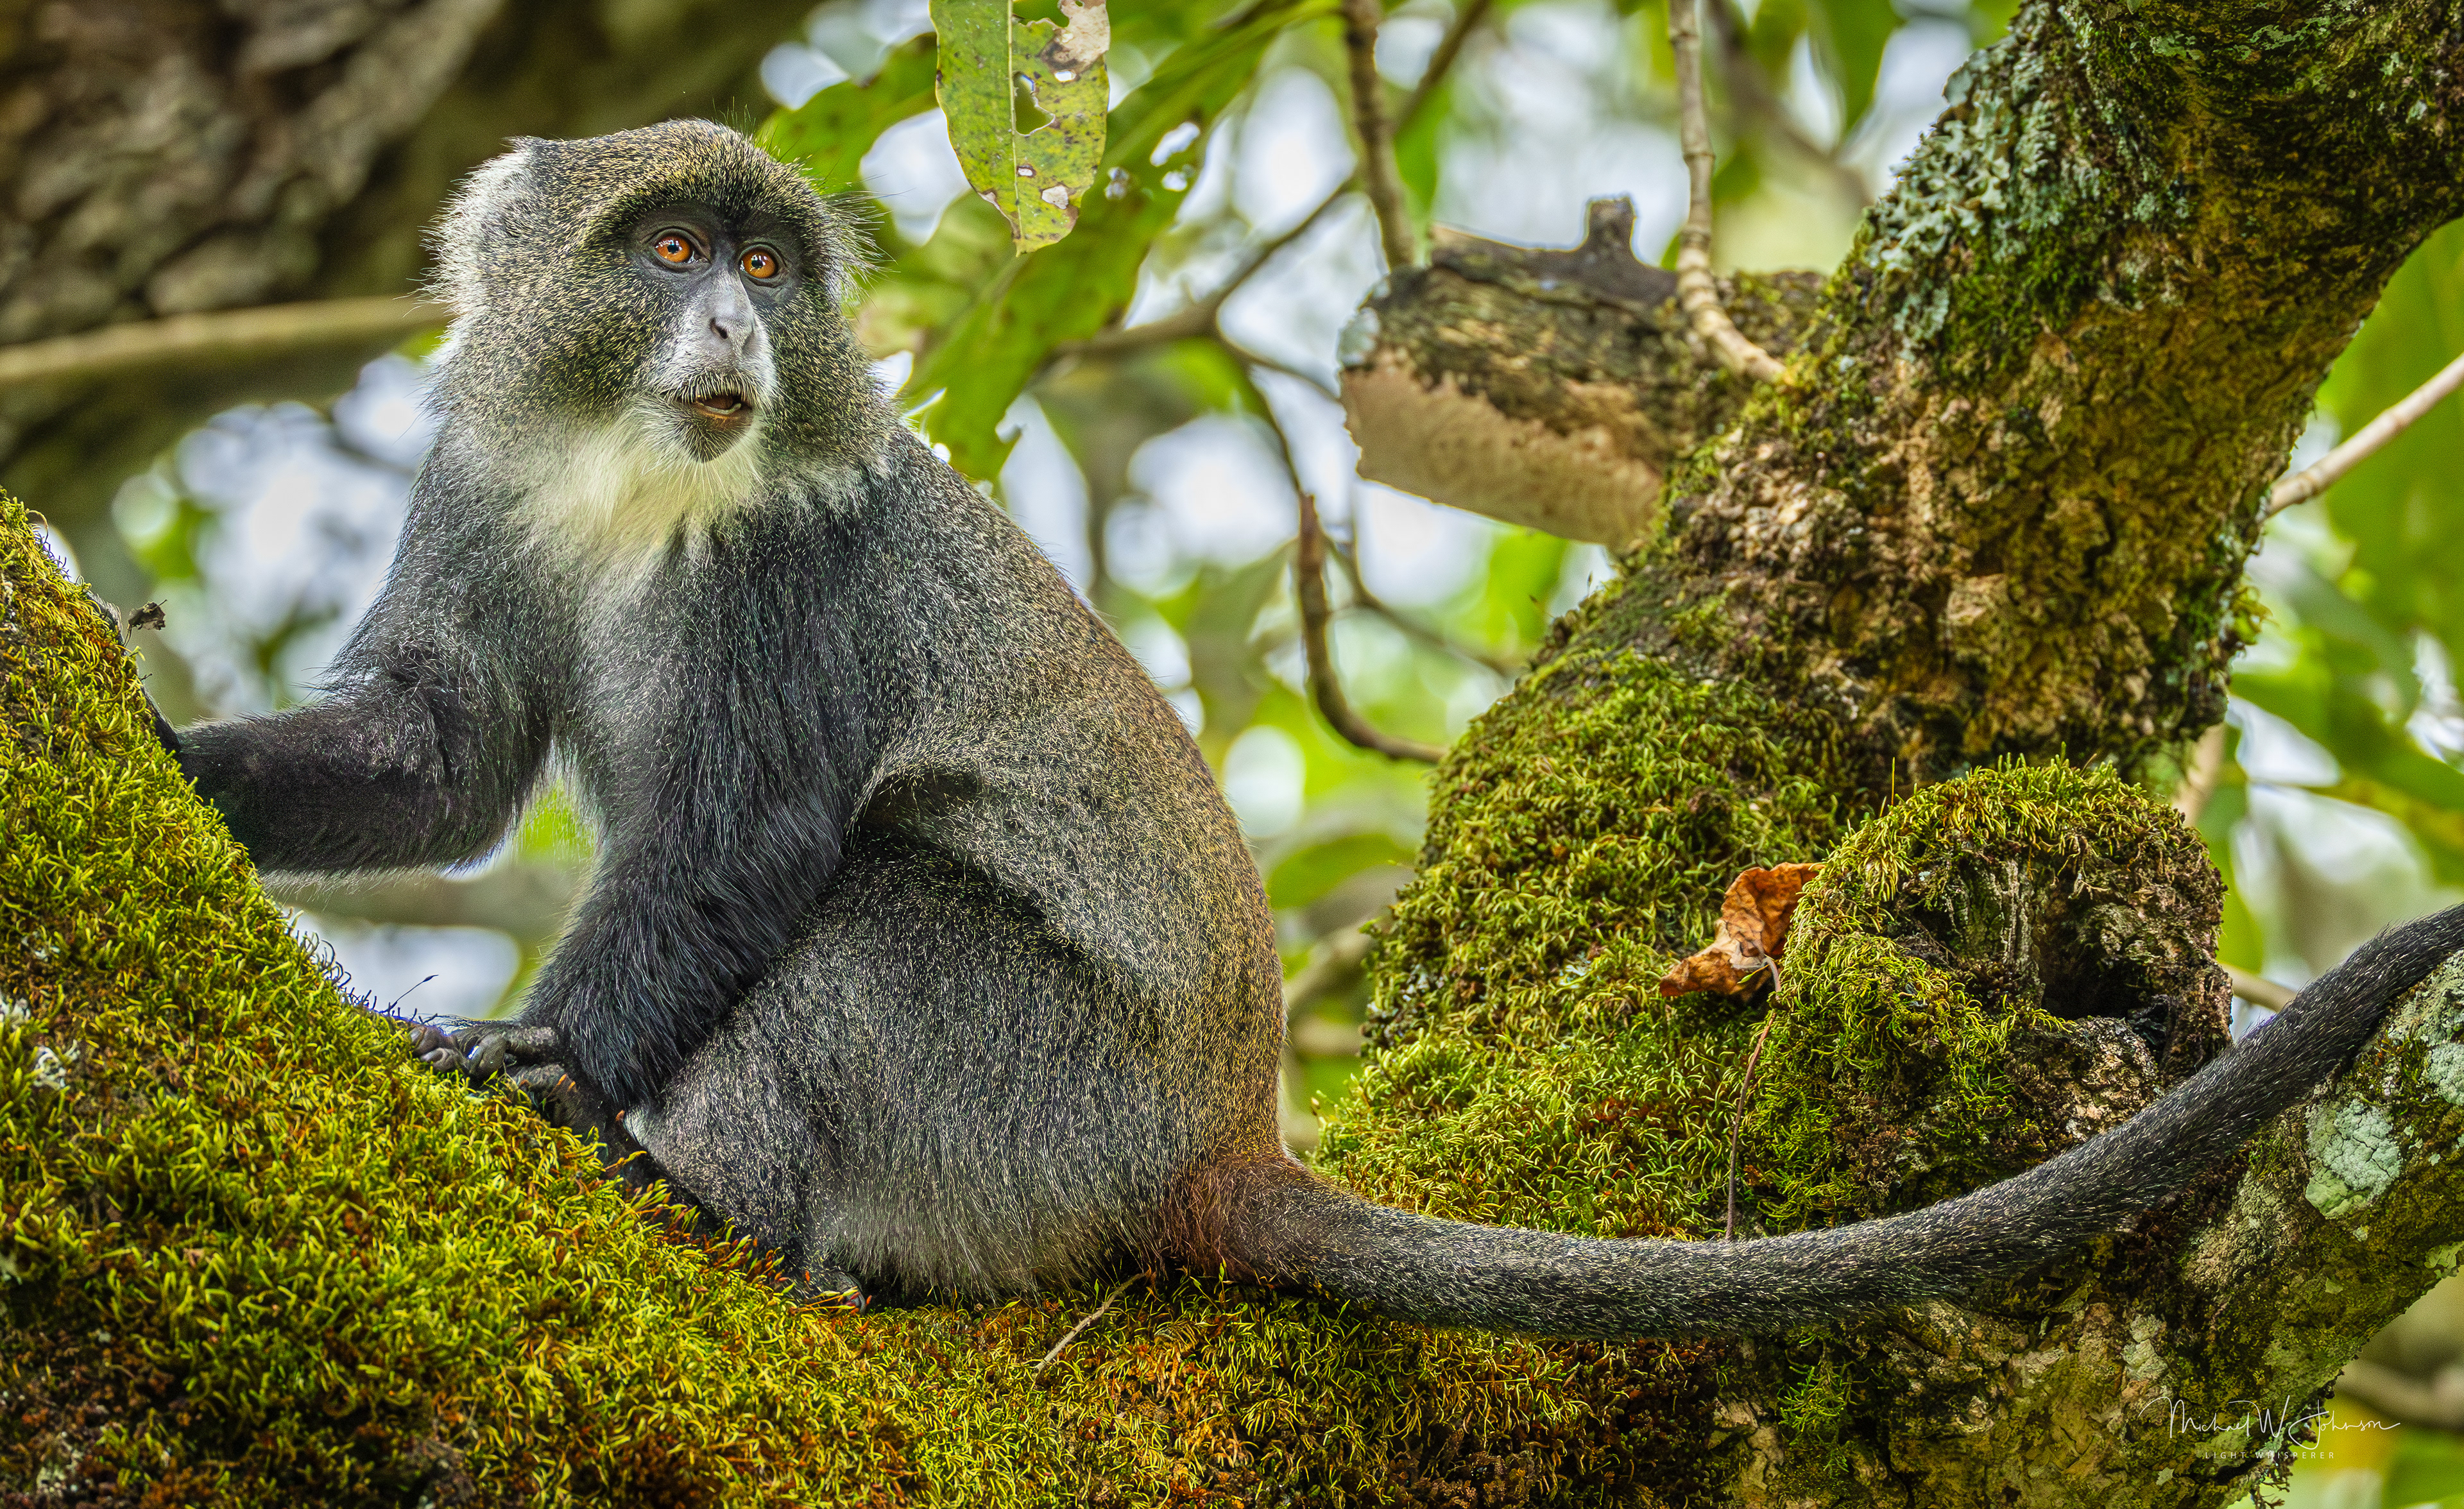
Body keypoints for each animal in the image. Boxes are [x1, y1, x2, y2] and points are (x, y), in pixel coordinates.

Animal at [154, 118, 2464, 1332]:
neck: (634, 482)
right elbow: (441, 758)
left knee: (873, 921)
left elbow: (736, 857)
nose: (732, 323)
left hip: (1035, 1101)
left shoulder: (792, 572)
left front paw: (524, 1069)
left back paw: (711, 1206)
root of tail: (1217, 1145)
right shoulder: (482, 481)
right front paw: (176, 755)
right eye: (663, 248)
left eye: (773, 272)